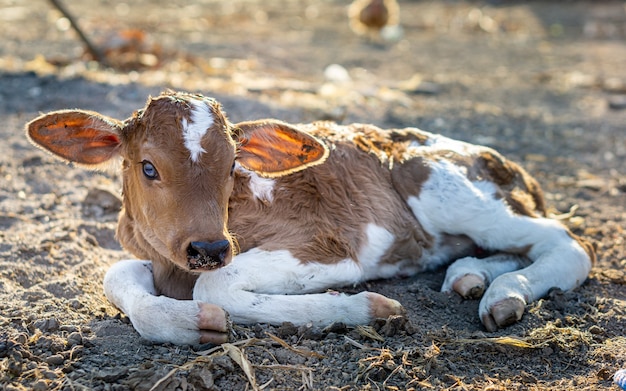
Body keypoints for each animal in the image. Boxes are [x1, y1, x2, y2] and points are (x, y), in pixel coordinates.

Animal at [26, 91, 596, 346]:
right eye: (148, 166)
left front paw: (368, 309)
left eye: (232, 164)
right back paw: (469, 277)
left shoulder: (327, 246)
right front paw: (190, 323)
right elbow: (117, 273)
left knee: (569, 243)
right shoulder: (147, 252)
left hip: (445, 187)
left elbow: (217, 287)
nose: (209, 248)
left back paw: (505, 296)